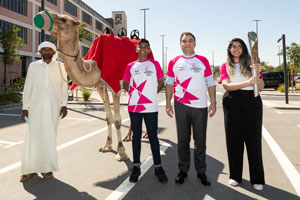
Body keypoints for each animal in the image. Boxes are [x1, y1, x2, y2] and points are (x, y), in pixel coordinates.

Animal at [34, 10, 149, 161]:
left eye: (64, 19)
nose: (40, 14)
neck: (95, 67)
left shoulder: (115, 86)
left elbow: (117, 120)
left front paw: (121, 153)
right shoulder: (100, 86)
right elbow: (108, 117)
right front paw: (107, 146)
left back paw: (145, 134)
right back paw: (128, 136)